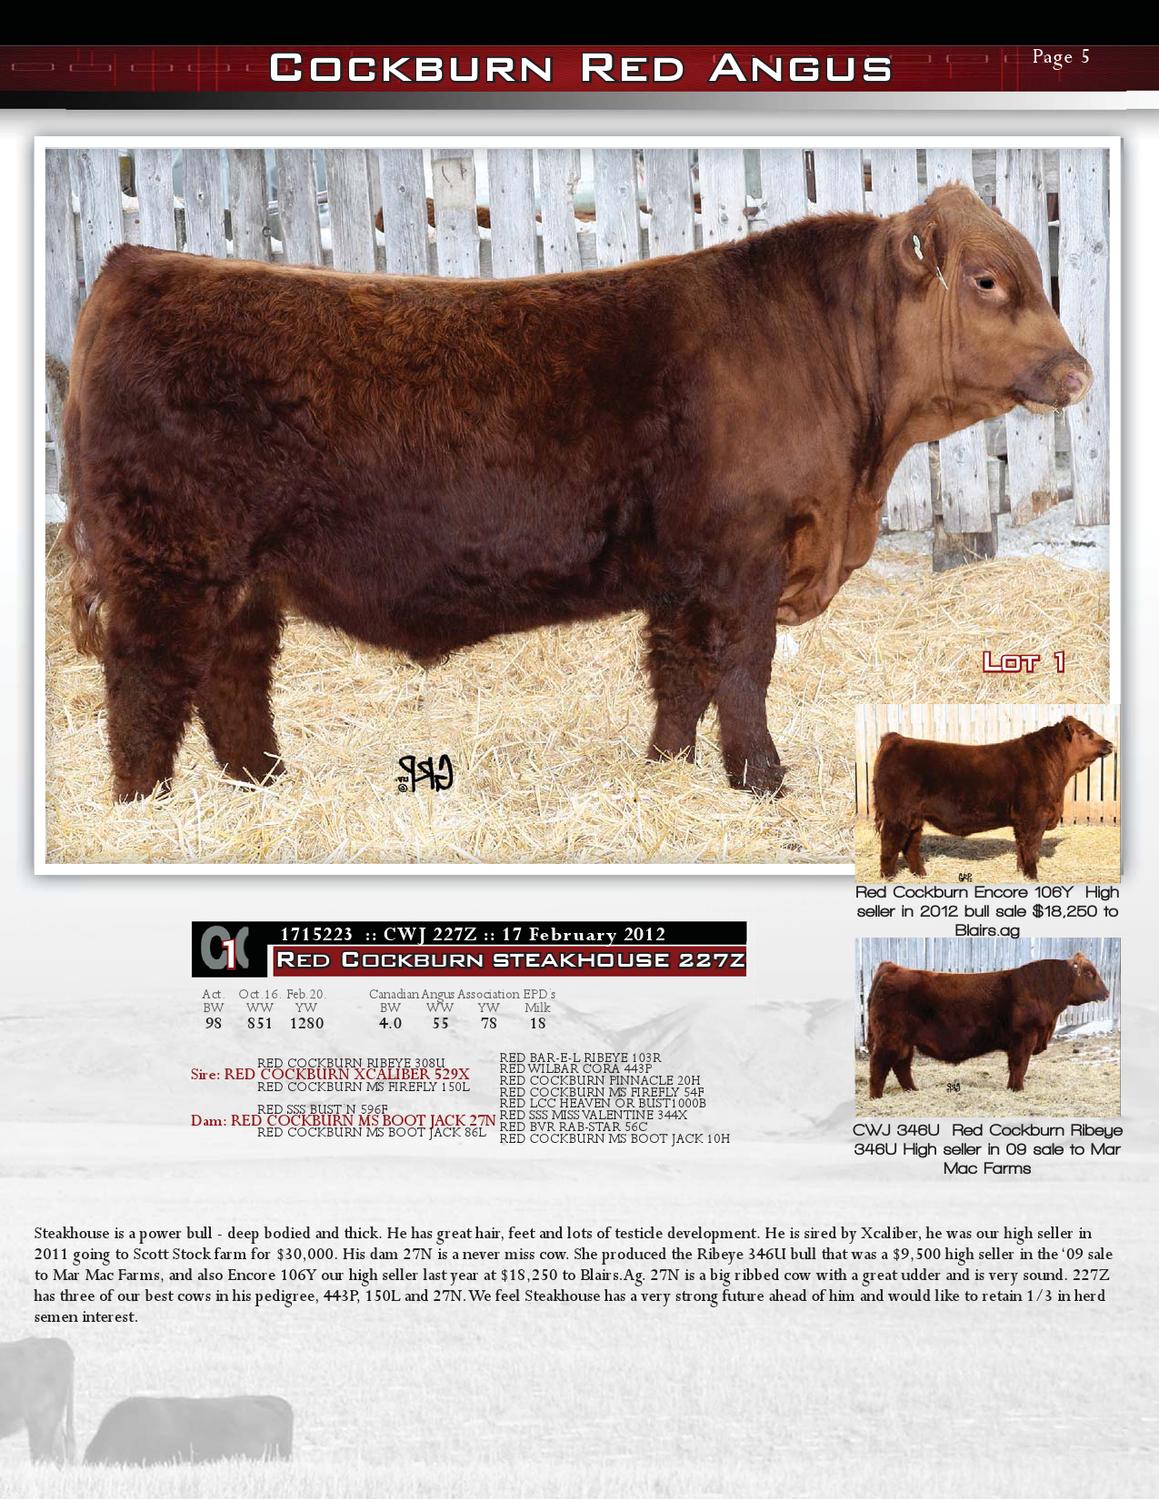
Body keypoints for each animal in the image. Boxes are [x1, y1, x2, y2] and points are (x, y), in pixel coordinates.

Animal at [62, 183, 1092, 802]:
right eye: (987, 278)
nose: (1077, 372)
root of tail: (135, 265)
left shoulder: (684, 571)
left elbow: (679, 671)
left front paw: (668, 766)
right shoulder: (745, 557)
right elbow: (743, 670)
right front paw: (761, 778)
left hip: (240, 577)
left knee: (232, 674)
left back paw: (264, 783)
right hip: (169, 559)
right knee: (147, 676)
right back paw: (145, 803)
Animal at [865, 951, 1110, 1098]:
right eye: (1090, 973)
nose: (1107, 993)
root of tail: (893, 967)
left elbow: (1014, 1066)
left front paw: (1012, 1087)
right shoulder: (1025, 1036)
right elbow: (1020, 1064)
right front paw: (1018, 1089)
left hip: (904, 1042)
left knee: (901, 1066)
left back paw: (912, 1091)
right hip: (891, 1038)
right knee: (879, 1065)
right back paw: (876, 1097)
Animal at [873, 716, 1114, 880]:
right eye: (1085, 733)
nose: (1110, 744)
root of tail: (897, 739)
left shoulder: (1021, 821)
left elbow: (1021, 848)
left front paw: (1022, 874)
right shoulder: (1034, 817)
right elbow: (1032, 848)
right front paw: (1033, 877)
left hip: (914, 817)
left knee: (910, 846)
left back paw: (921, 875)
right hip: (897, 816)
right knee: (889, 846)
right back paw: (889, 878)